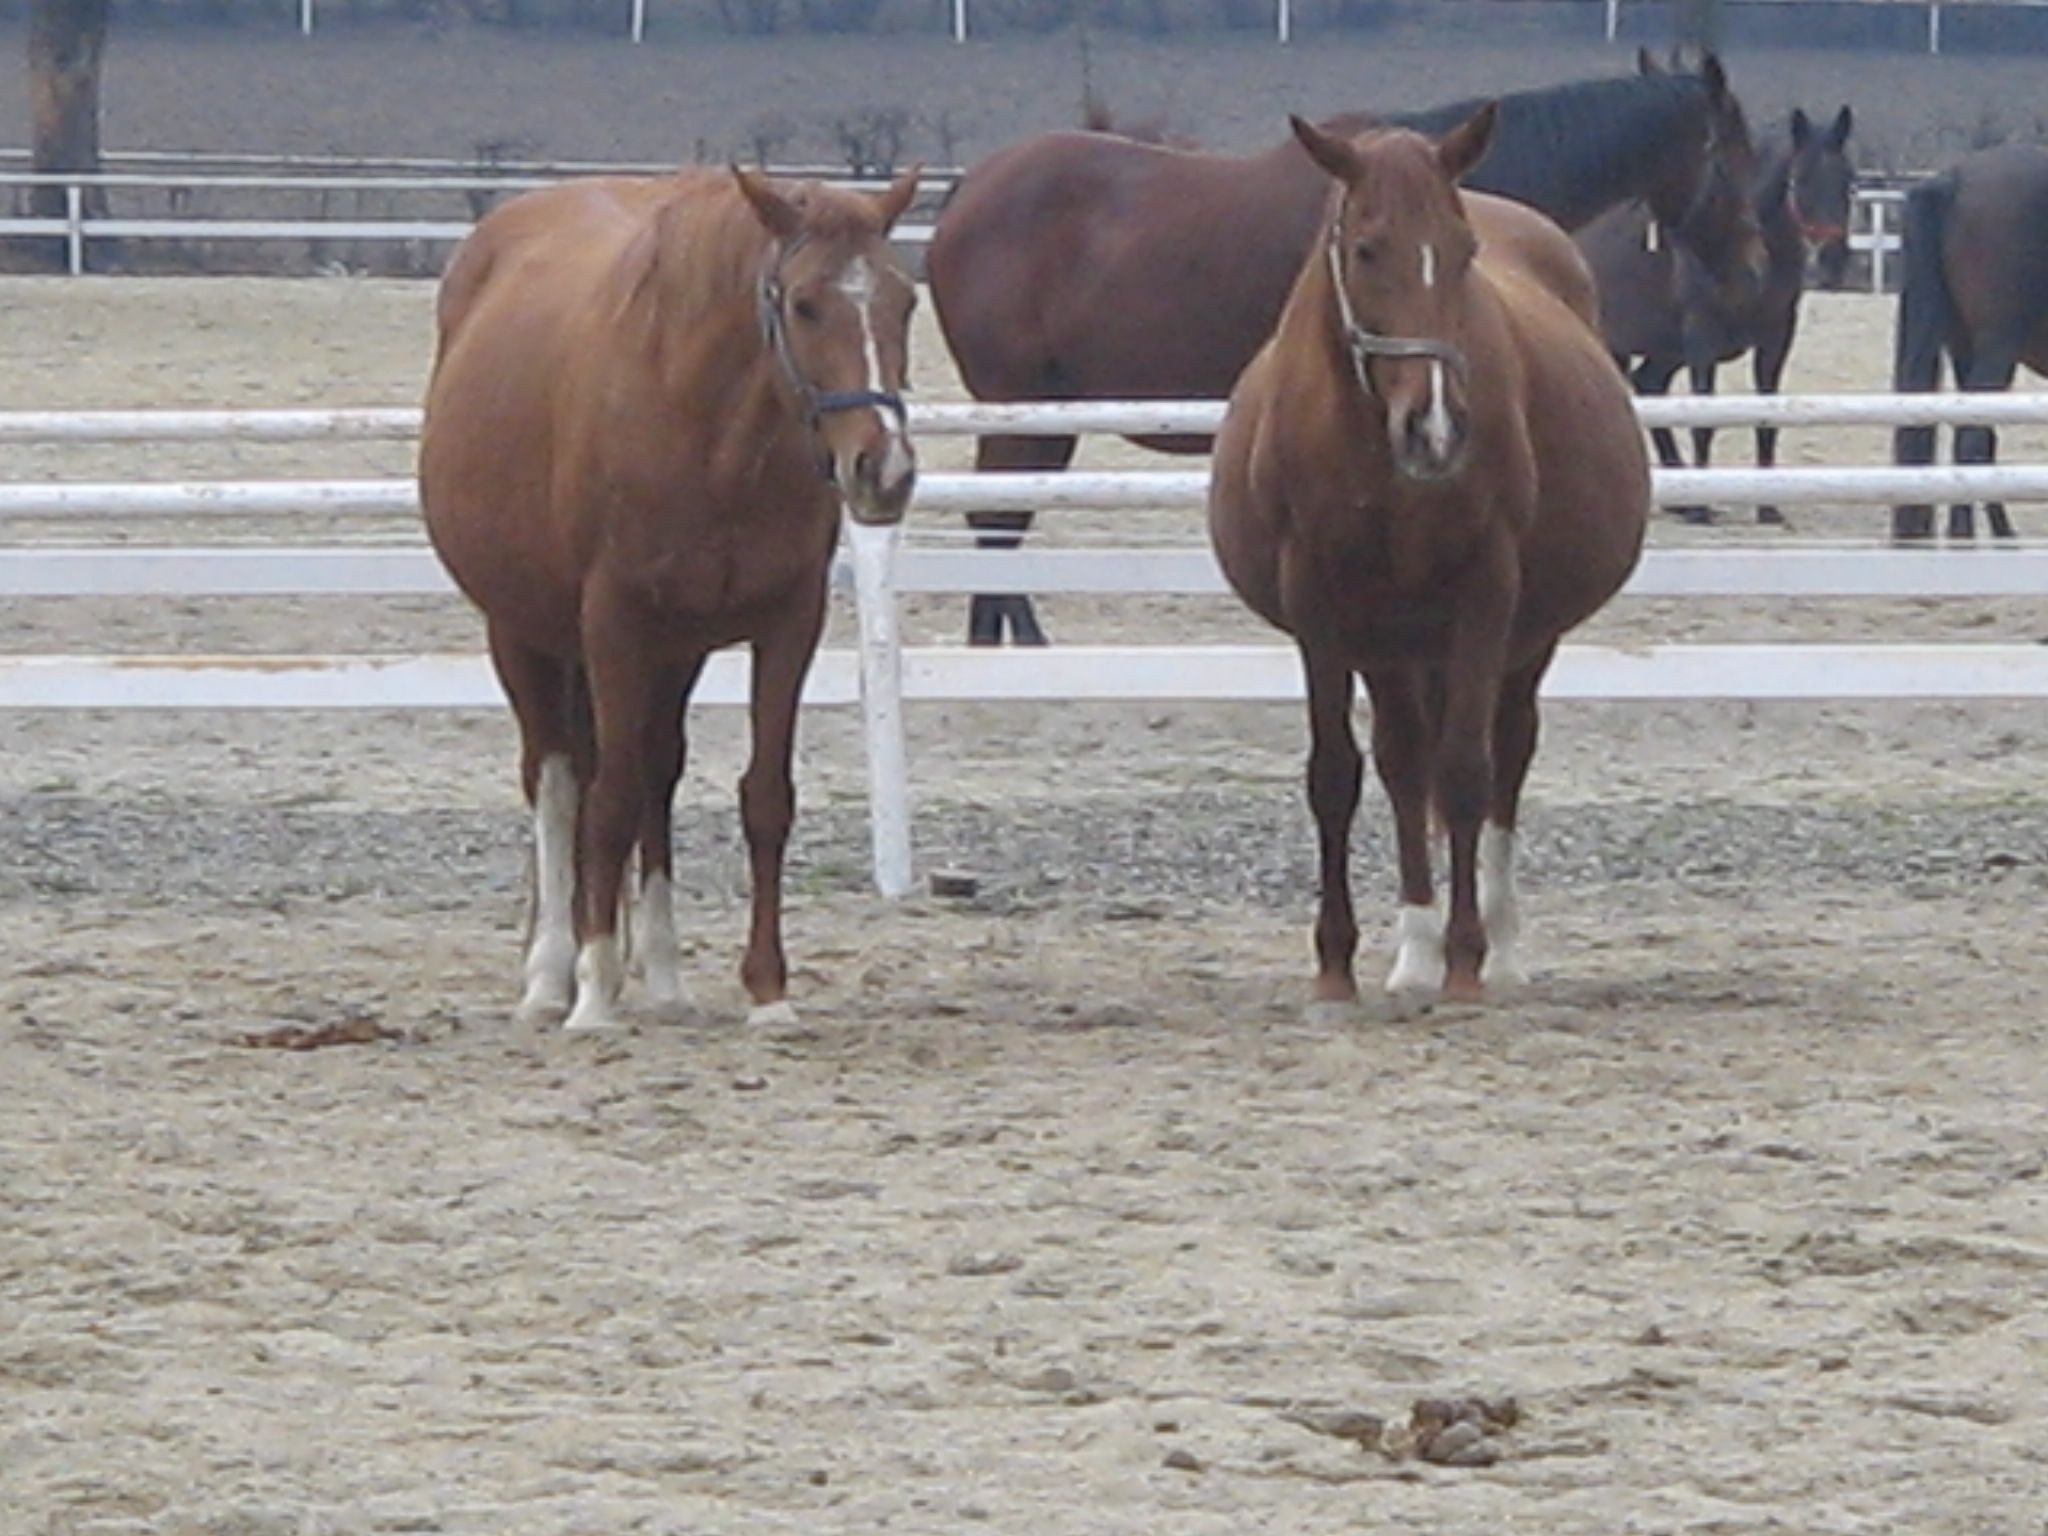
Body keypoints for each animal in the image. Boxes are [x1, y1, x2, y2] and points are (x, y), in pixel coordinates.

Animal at [419, 165, 917, 1036]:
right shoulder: (613, 627)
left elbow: (762, 797)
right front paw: (591, 994)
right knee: (558, 784)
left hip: (672, 653)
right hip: (522, 634)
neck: (706, 433)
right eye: (804, 304)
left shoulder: (787, 626)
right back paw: (551, 977)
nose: (883, 473)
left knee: (655, 770)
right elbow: (606, 800)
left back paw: (659, 975)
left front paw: (768, 992)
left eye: (907, 301)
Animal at [1204, 108, 1654, 1024]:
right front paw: (1336, 965)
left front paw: (1468, 961)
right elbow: (1337, 773)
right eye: (1366, 248)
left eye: (1463, 249)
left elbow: (1469, 772)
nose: (1436, 429)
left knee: (1505, 753)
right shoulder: (1321, 608)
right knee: (1403, 763)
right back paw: (1411, 953)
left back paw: (1497, 948)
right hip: (1391, 642)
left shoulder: (1489, 595)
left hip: (1522, 638)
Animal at [1581, 103, 1859, 524]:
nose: (1832, 262)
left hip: (1666, 349)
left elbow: (1766, 417)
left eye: (1849, 180)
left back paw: (1677, 494)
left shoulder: (1777, 336)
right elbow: (1703, 419)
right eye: (1801, 179)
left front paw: (1767, 507)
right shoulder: (1702, 335)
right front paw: (1701, 506)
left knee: (1649, 386)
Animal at [1884, 140, 2048, 548]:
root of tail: (1954, 179)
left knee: (1977, 437)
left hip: (1964, 348)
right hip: (1996, 347)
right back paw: (1968, 539)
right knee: (1972, 440)